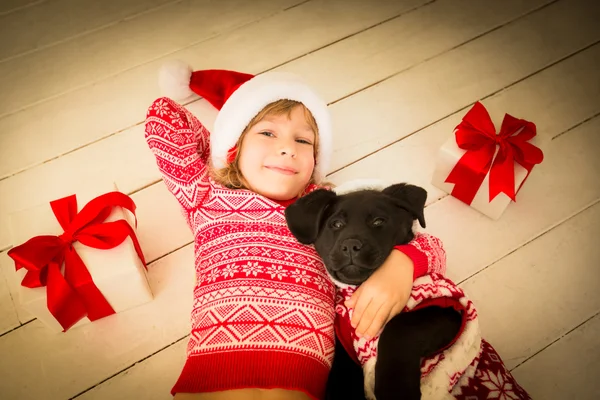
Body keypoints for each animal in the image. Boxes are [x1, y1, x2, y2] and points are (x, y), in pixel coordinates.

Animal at [284, 184, 460, 400]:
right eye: (336, 224)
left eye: (378, 221)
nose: (351, 245)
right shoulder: (345, 342)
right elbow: (342, 375)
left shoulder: (447, 309)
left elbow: (398, 327)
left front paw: (395, 389)